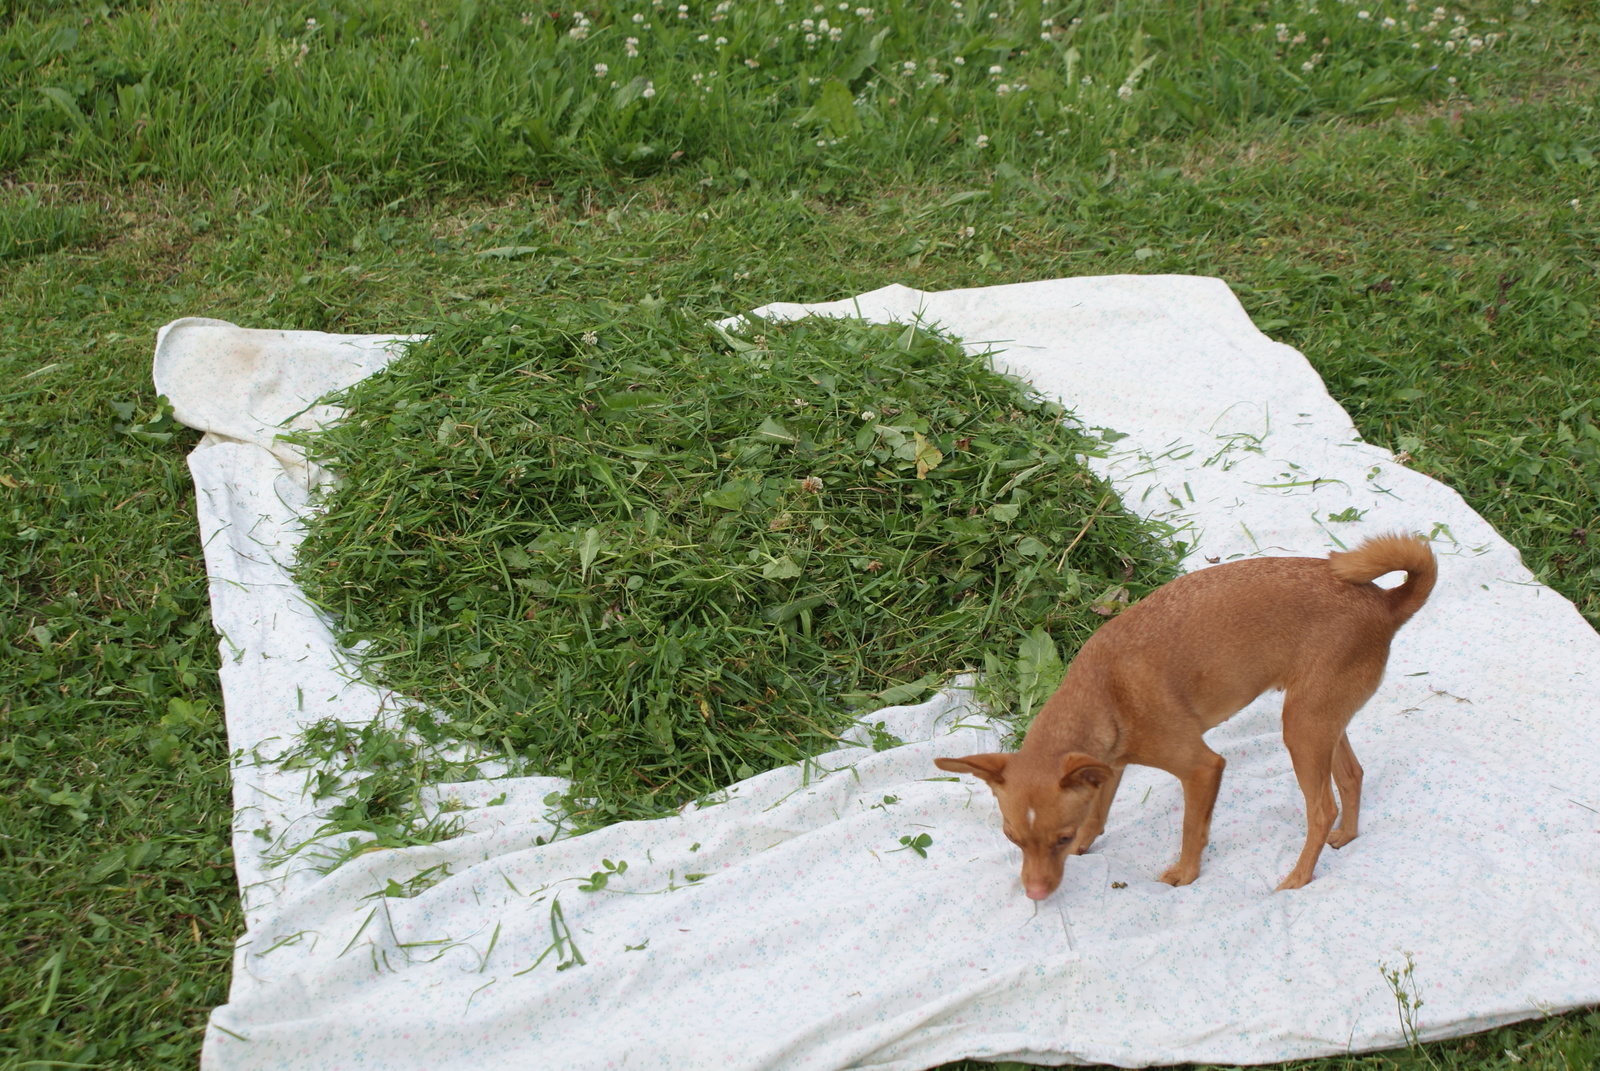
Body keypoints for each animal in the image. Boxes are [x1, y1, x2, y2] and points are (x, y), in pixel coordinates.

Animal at [934, 531, 1433, 896]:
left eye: (1059, 837)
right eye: (1013, 839)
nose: (1035, 894)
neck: (1105, 691)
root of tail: (1385, 602)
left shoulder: (1201, 768)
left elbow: (1192, 828)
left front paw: (1185, 874)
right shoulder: (1108, 767)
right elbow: (1099, 814)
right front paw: (1088, 845)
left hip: (1302, 729)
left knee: (1321, 809)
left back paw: (1297, 879)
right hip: (1322, 721)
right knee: (1352, 775)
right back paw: (1347, 836)